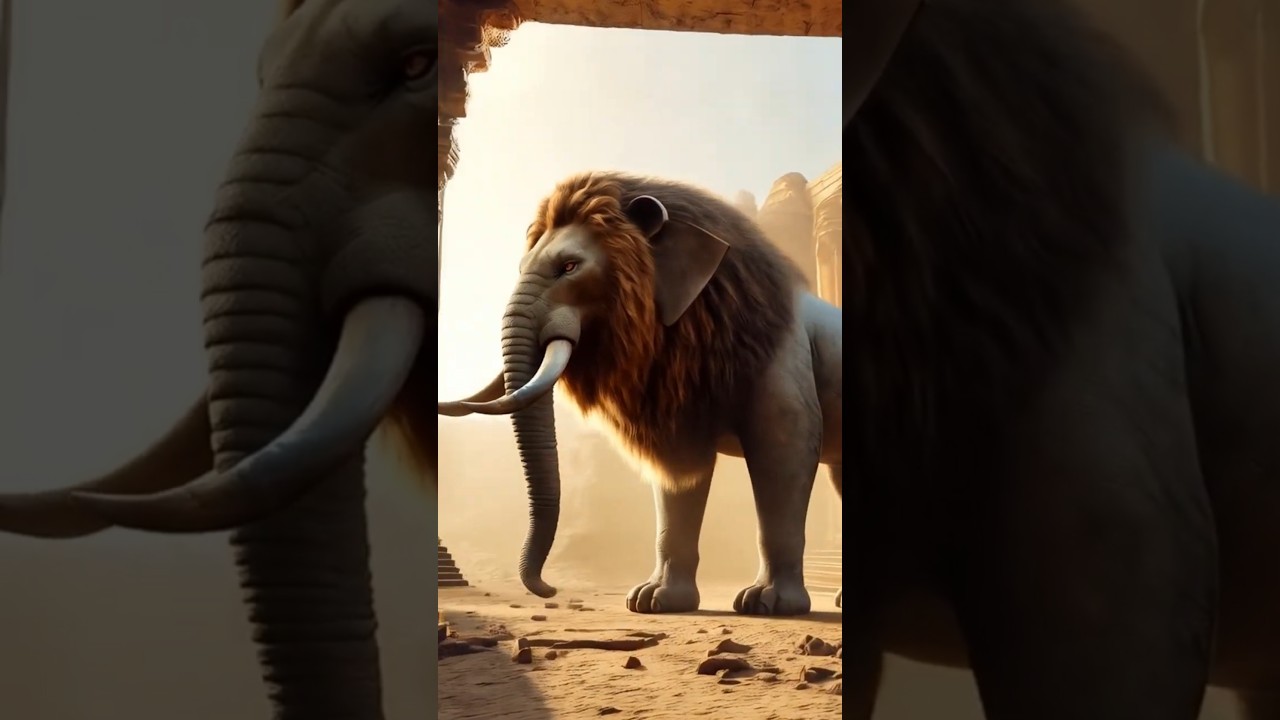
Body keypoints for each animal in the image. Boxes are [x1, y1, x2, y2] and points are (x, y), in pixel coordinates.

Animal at [438, 170, 844, 616]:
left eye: (569, 266)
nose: (547, 589)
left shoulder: (785, 365)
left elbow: (783, 453)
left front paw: (767, 603)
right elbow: (677, 480)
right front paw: (652, 601)